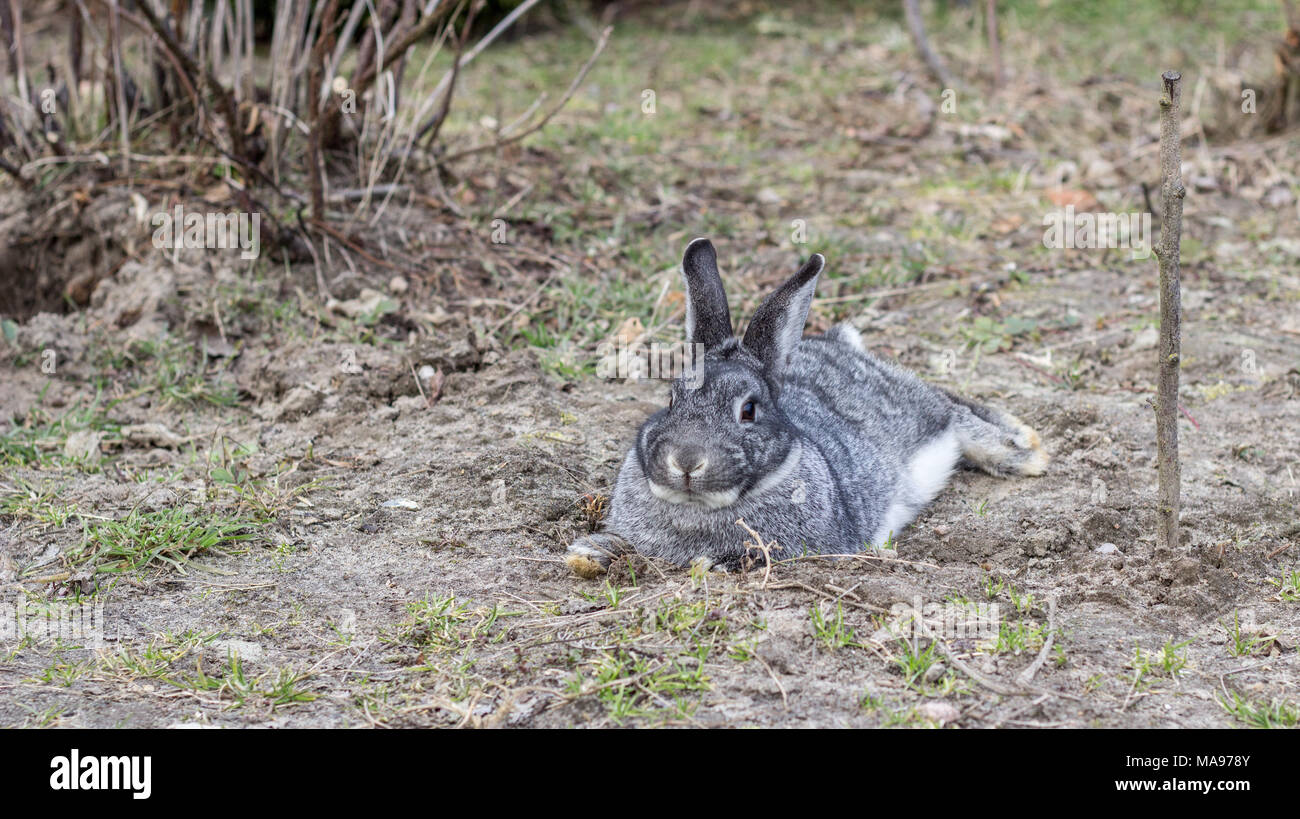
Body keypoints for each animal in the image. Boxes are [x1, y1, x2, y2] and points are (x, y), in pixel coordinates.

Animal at [566, 238, 1048, 578]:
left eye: (749, 410)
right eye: (671, 398)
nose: (686, 461)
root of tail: (842, 345)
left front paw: (710, 564)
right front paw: (588, 554)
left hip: (919, 411)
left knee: (950, 408)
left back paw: (1024, 452)